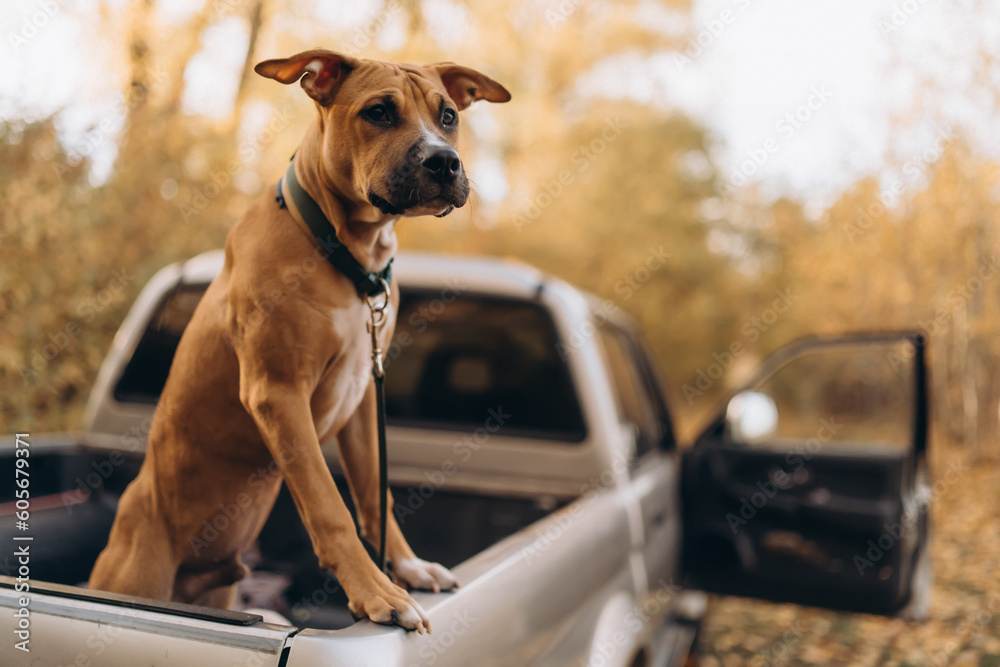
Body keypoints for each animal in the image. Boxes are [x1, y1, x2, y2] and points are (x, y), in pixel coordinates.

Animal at [90, 51, 512, 632]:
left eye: (448, 115)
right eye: (379, 112)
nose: (444, 162)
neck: (348, 253)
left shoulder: (363, 400)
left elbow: (374, 495)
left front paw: (406, 568)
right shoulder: (278, 392)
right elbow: (329, 506)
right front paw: (377, 593)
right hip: (138, 574)